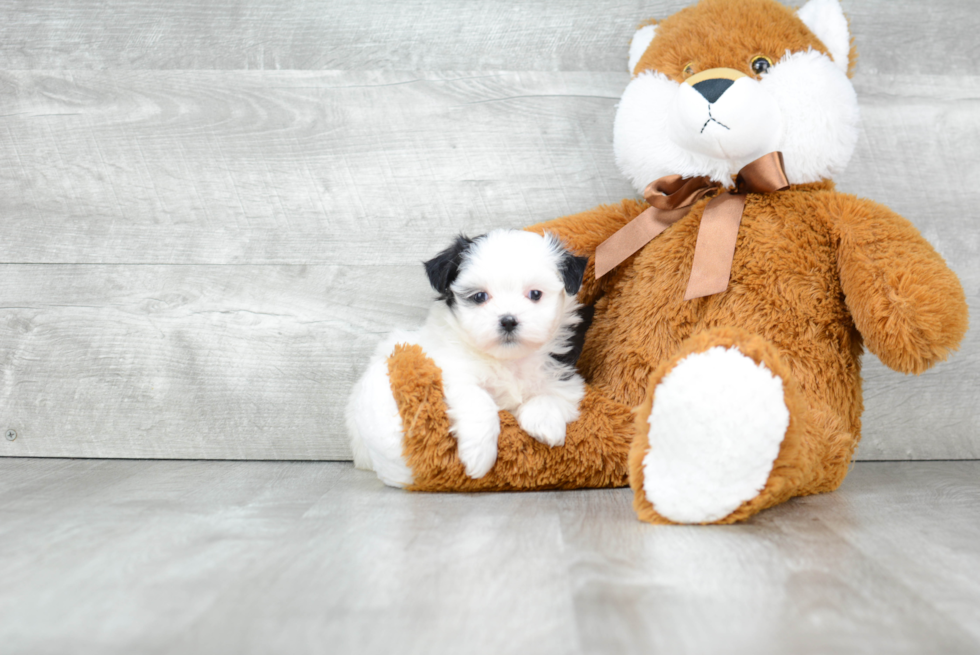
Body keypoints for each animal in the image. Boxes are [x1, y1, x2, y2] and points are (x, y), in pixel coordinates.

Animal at [346, 228, 584, 484]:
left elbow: (550, 395)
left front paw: (545, 424)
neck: (506, 360)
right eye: (479, 296)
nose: (508, 320)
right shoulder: (453, 371)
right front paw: (478, 456)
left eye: (535, 294)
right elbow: (479, 401)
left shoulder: (564, 377)